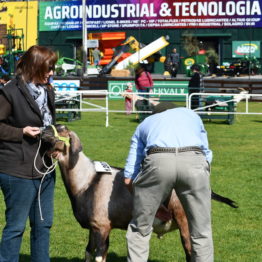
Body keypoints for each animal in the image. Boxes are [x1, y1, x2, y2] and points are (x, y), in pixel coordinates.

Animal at [41, 125, 237, 262]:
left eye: (62, 129)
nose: (43, 130)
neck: (87, 180)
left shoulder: (102, 227)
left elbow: (99, 257)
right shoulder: (93, 228)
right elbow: (88, 253)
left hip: (186, 221)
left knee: (191, 251)